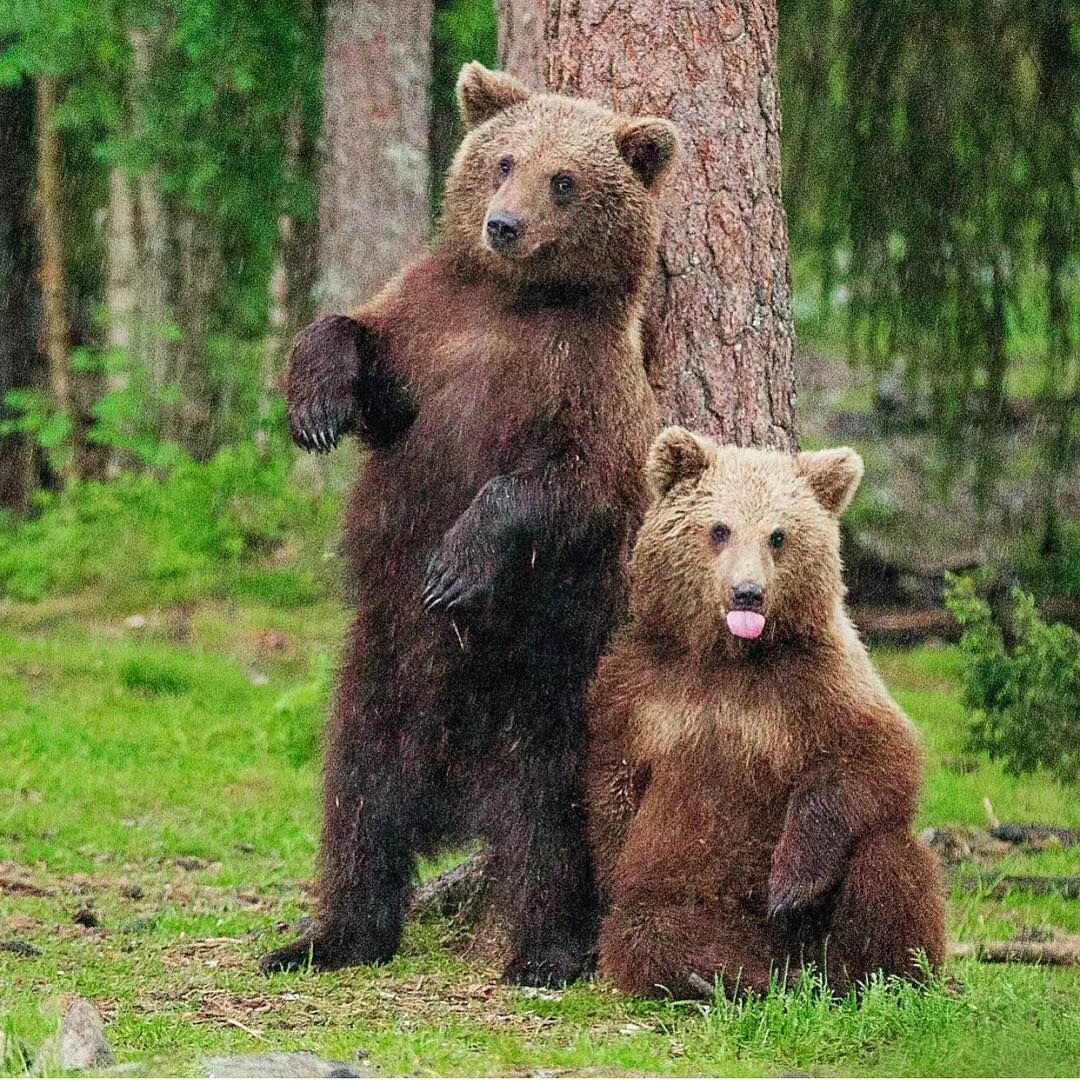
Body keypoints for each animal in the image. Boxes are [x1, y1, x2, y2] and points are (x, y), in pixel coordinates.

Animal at [260, 61, 673, 989]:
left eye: (566, 179)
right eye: (504, 159)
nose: (504, 226)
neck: (512, 302)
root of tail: (455, 790)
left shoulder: (584, 384)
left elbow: (560, 485)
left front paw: (455, 565)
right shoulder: (429, 332)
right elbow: (358, 338)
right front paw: (315, 406)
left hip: (550, 689)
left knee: (552, 822)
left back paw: (545, 952)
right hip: (376, 678)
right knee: (357, 803)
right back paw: (328, 938)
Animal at [587, 427, 950, 993]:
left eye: (778, 536)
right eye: (720, 528)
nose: (748, 593)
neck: (730, 657)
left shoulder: (818, 677)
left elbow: (877, 754)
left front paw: (790, 886)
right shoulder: (640, 688)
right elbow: (612, 785)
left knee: (887, 856)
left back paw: (888, 977)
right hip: (690, 905)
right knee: (652, 929)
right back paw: (746, 976)